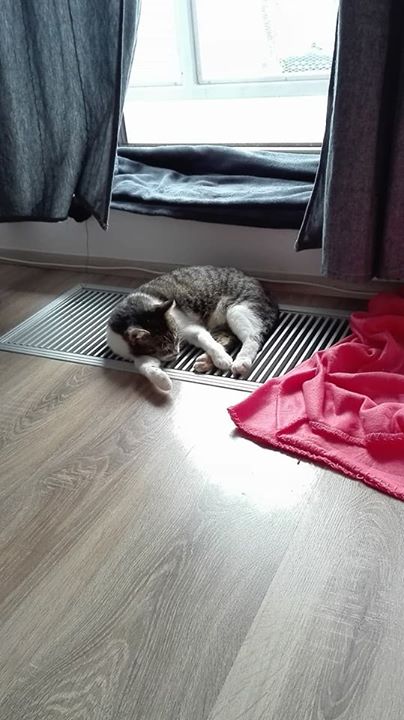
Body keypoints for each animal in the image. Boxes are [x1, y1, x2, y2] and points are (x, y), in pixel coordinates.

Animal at [106, 265, 279, 392]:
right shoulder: (140, 355)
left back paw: (240, 361)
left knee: (252, 338)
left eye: (176, 339)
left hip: (237, 310)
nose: (176, 353)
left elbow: (206, 340)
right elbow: (144, 366)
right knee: (228, 339)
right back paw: (206, 361)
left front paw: (221, 359)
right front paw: (162, 381)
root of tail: (269, 297)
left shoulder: (190, 328)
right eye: (162, 349)